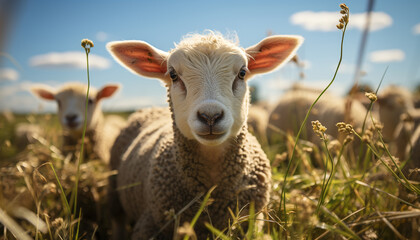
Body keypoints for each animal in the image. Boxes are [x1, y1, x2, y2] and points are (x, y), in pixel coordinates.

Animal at [105, 31, 302, 239]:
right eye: (173, 75)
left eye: (242, 73)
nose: (210, 116)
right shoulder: (149, 224)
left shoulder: (252, 224)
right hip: (114, 188)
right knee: (117, 219)